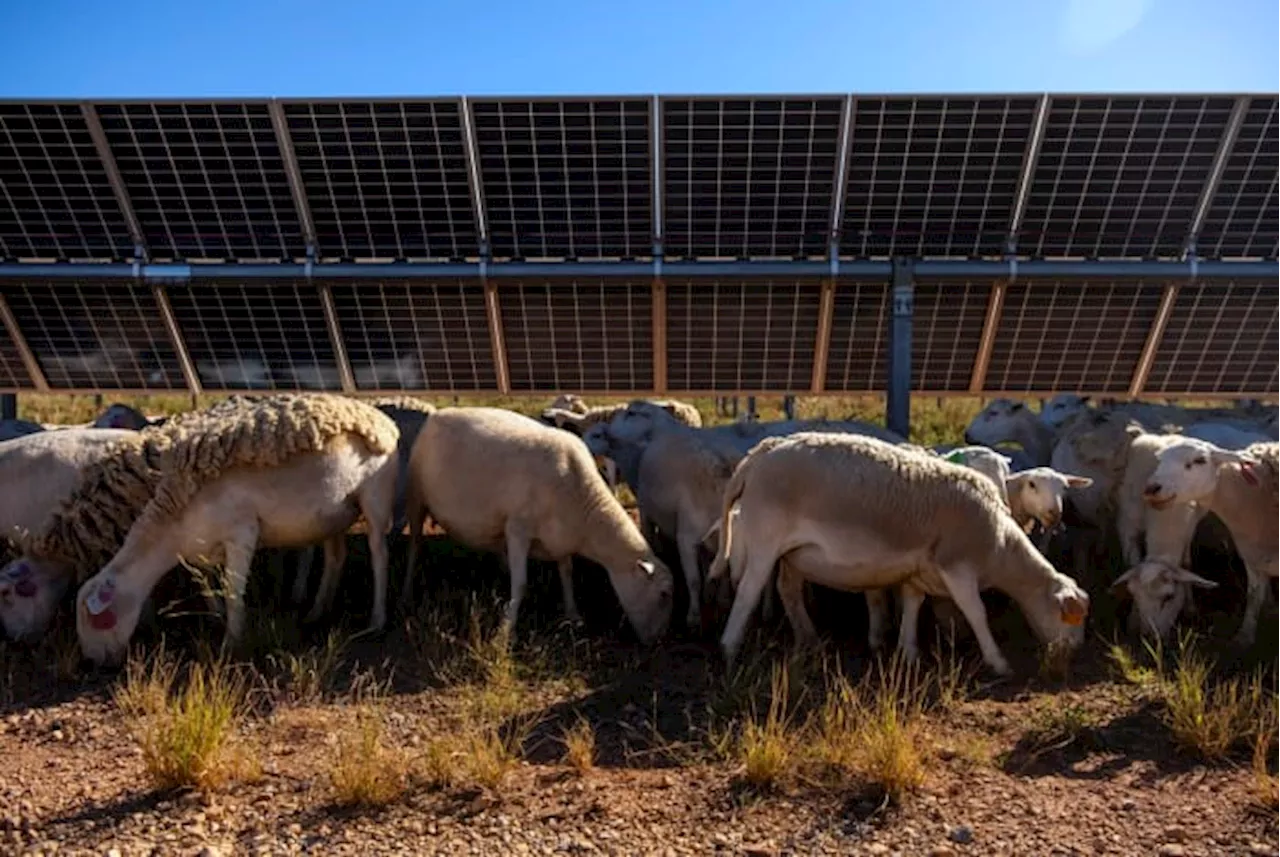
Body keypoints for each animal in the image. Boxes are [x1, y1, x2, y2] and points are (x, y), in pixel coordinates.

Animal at [71, 393, 399, 670]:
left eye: (96, 619)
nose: (93, 664)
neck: (173, 526)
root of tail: (379, 417)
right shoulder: (203, 548)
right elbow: (207, 585)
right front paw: (217, 618)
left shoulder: (242, 534)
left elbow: (232, 591)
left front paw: (232, 642)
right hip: (334, 513)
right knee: (335, 558)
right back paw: (317, 611)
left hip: (375, 498)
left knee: (379, 555)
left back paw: (377, 620)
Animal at [401, 409, 675, 644]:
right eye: (663, 595)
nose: (657, 642)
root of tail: (437, 414)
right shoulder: (518, 530)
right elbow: (521, 583)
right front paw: (505, 633)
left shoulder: (561, 538)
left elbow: (566, 572)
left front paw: (572, 614)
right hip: (415, 497)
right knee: (414, 545)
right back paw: (407, 591)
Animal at [711, 432, 1090, 675]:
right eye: (1068, 617)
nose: (1071, 656)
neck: (999, 543)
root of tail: (761, 452)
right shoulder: (958, 567)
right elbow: (977, 613)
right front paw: (998, 662)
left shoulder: (919, 570)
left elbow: (912, 604)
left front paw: (908, 652)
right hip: (765, 541)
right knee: (748, 592)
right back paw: (729, 649)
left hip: (793, 553)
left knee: (788, 591)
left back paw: (809, 640)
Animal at [1141, 440, 1280, 647]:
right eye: (1160, 459)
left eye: (1200, 460)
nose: (1151, 488)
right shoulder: (1252, 557)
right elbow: (1254, 596)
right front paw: (1244, 637)